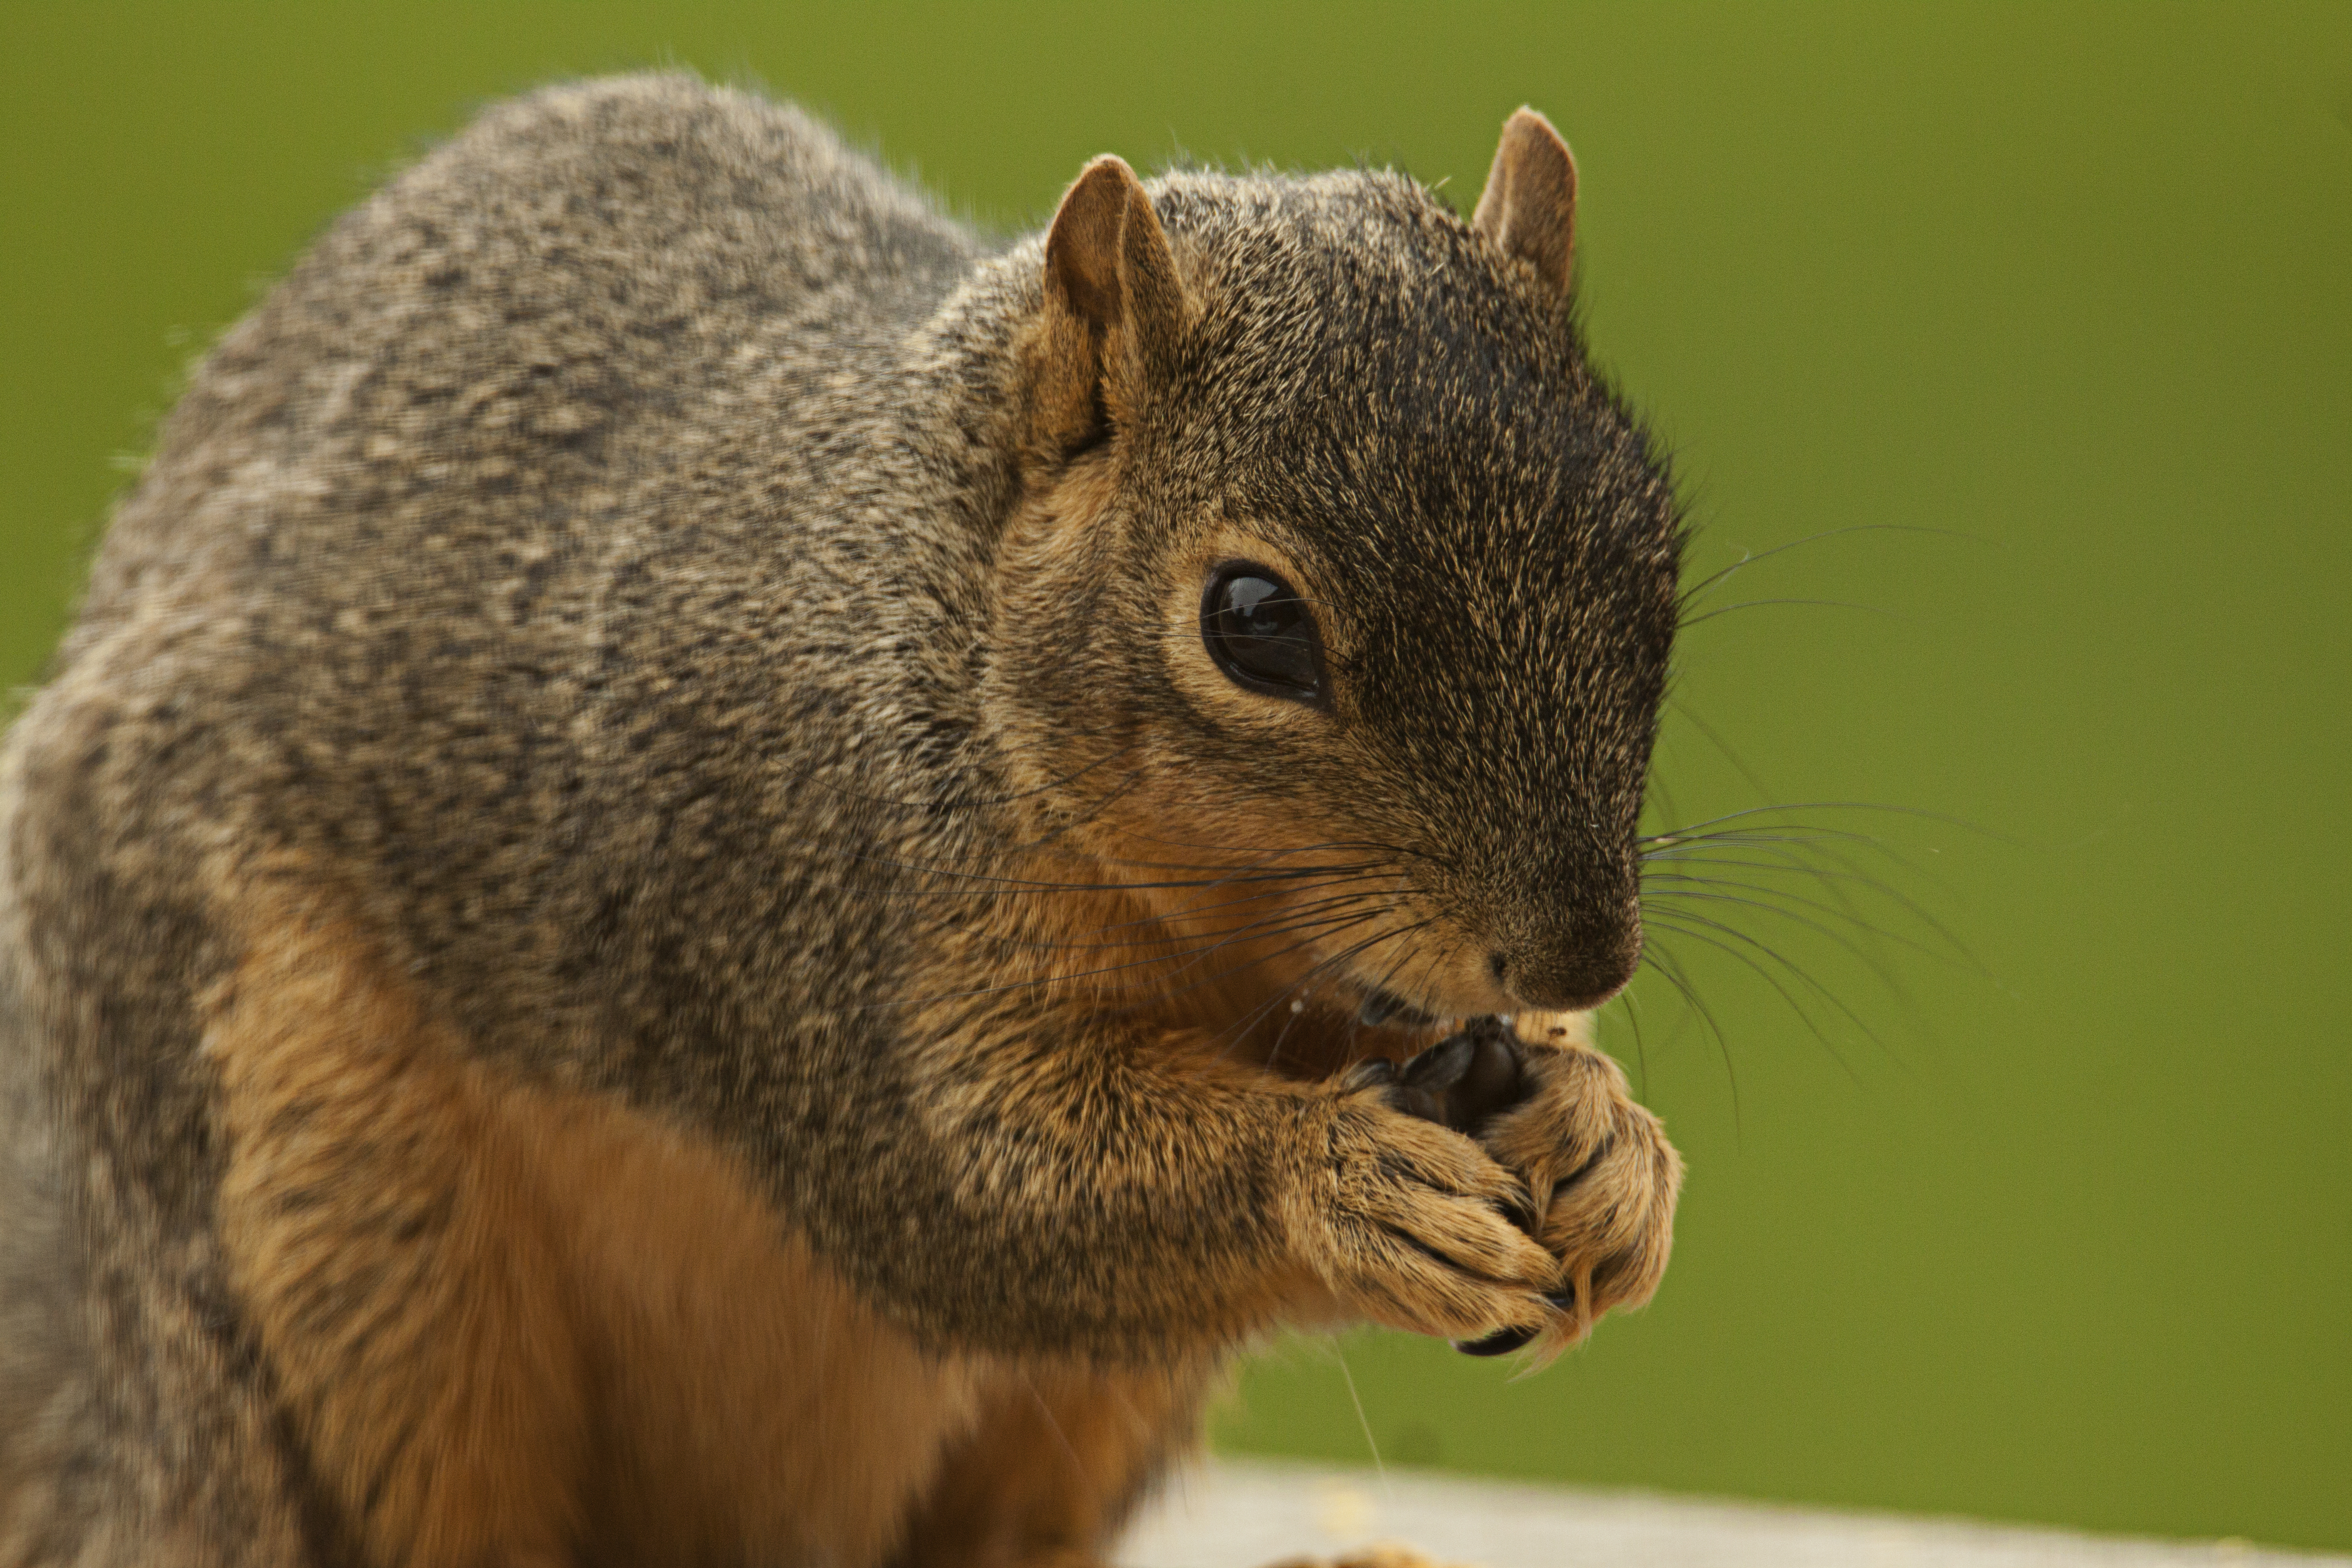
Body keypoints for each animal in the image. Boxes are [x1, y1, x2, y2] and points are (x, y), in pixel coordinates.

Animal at [0, 74, 1684, 1568]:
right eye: (1253, 623)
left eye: (1656, 550)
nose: (1580, 957)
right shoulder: (790, 904)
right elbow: (963, 1188)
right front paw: (1338, 1179)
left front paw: (1611, 1149)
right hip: (325, 1222)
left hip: (1099, 1398)